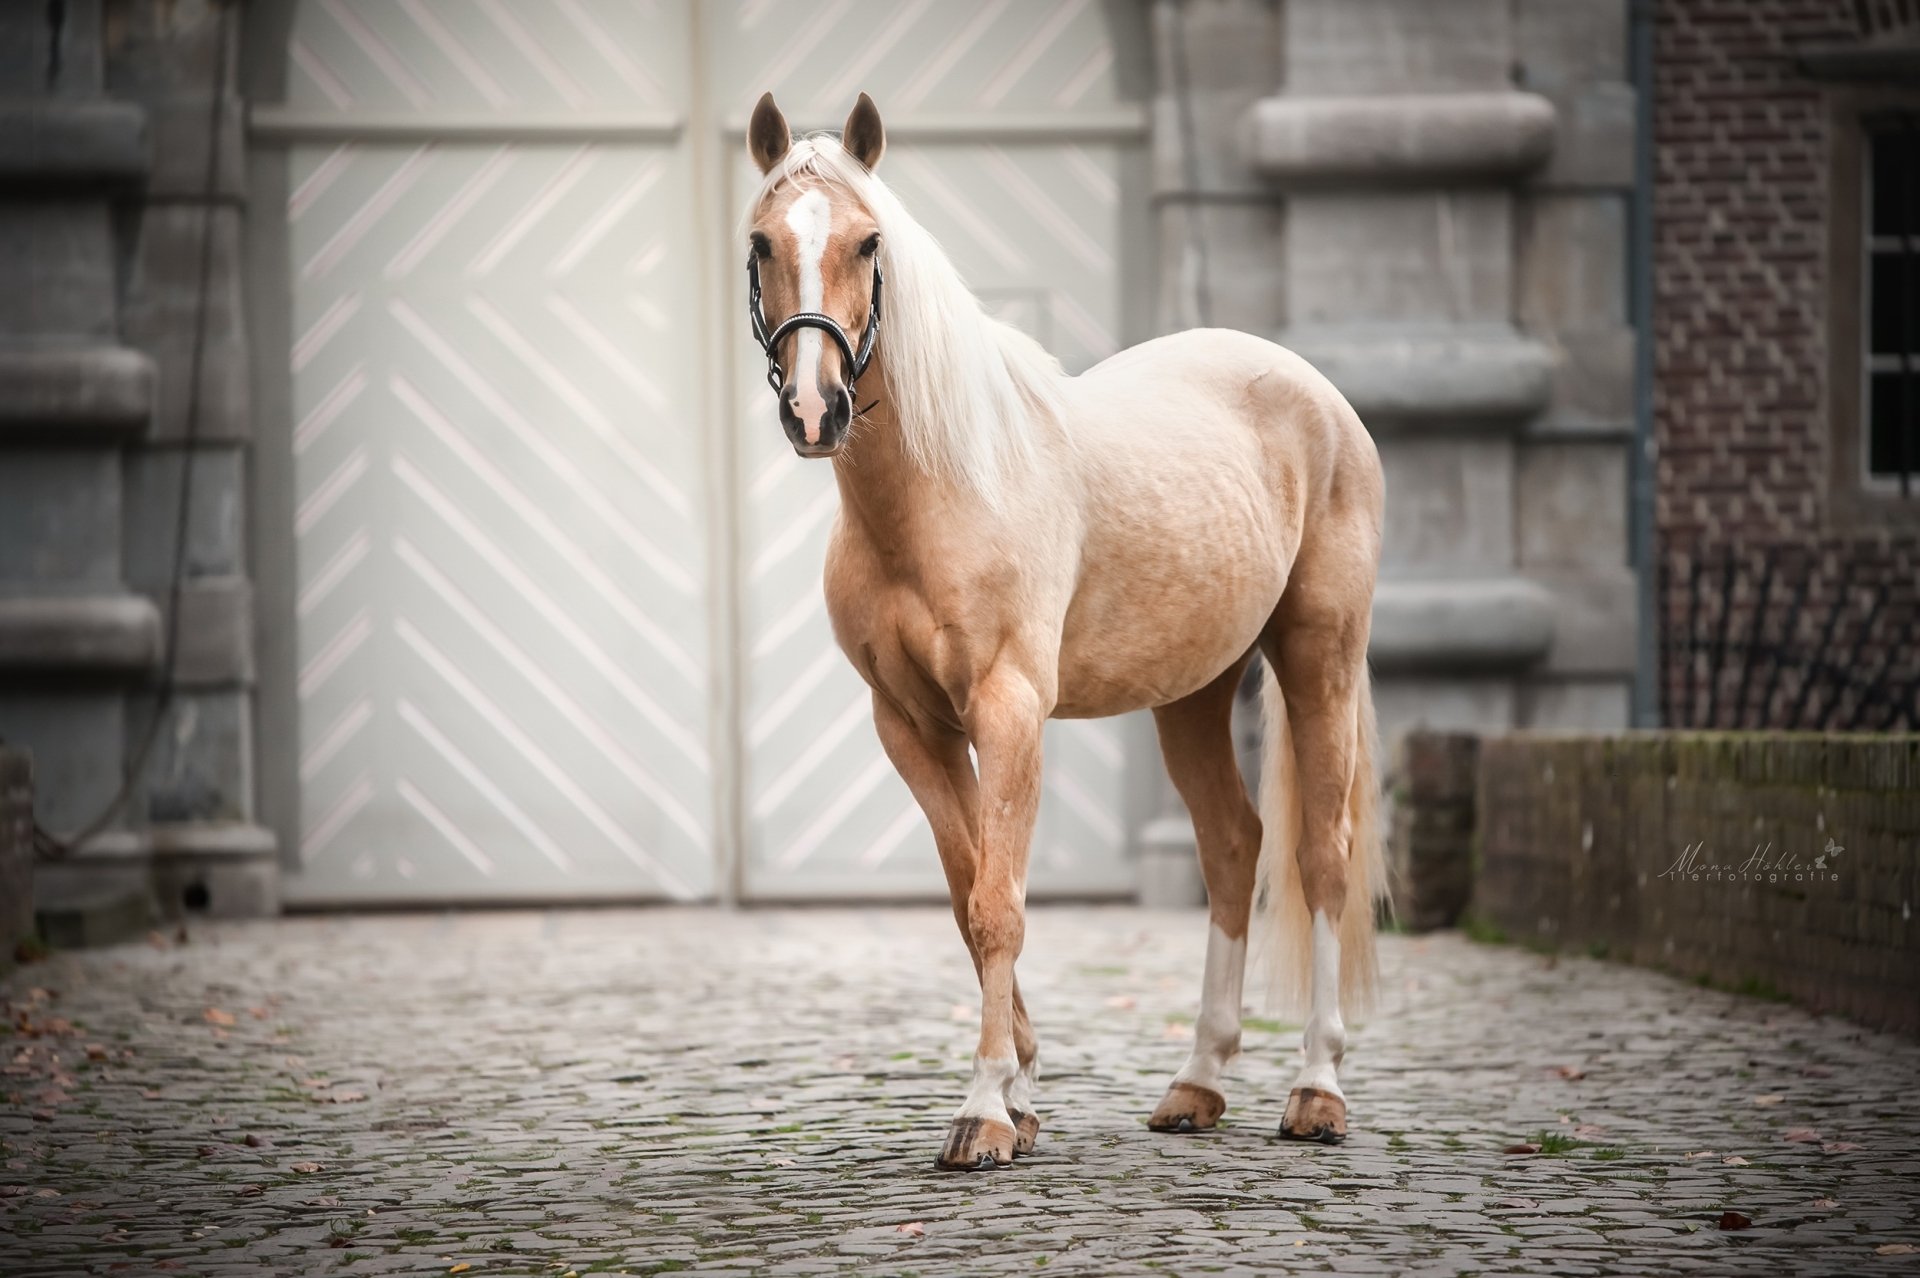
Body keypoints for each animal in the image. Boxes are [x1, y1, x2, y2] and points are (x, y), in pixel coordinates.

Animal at [741, 91, 1386, 1171]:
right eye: (760, 243)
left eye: (870, 242)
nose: (813, 408)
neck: (945, 489)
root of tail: (1314, 390)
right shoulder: (909, 724)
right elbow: (967, 896)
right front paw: (1023, 1086)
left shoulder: (1008, 711)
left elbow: (1000, 905)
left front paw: (986, 1111)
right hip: (1192, 694)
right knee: (1232, 846)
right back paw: (1197, 1083)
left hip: (1318, 658)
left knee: (1320, 856)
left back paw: (1316, 1089)